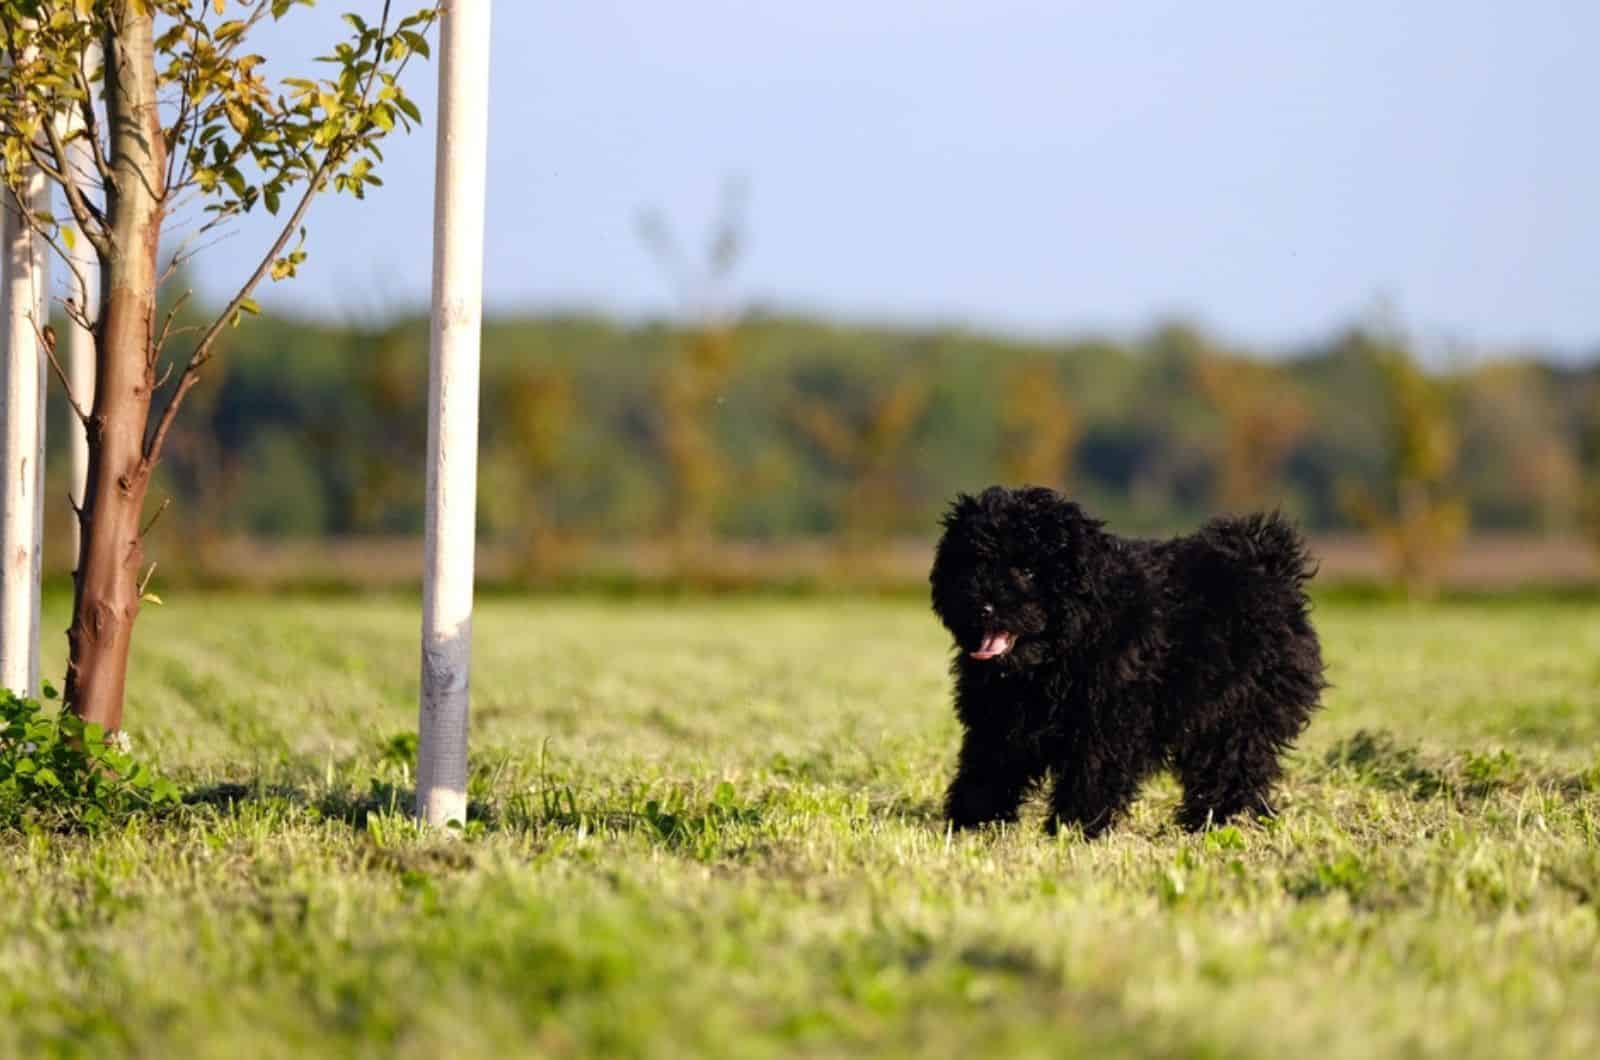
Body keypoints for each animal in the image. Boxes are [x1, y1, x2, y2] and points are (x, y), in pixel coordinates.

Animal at [934, 486, 1318, 839]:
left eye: (1028, 570)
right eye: (973, 564)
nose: (981, 605)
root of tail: (1270, 565)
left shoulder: (1105, 723)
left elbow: (1090, 776)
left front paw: (1074, 829)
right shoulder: (998, 721)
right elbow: (986, 770)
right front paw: (971, 824)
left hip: (1239, 714)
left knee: (1232, 767)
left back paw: (1219, 822)